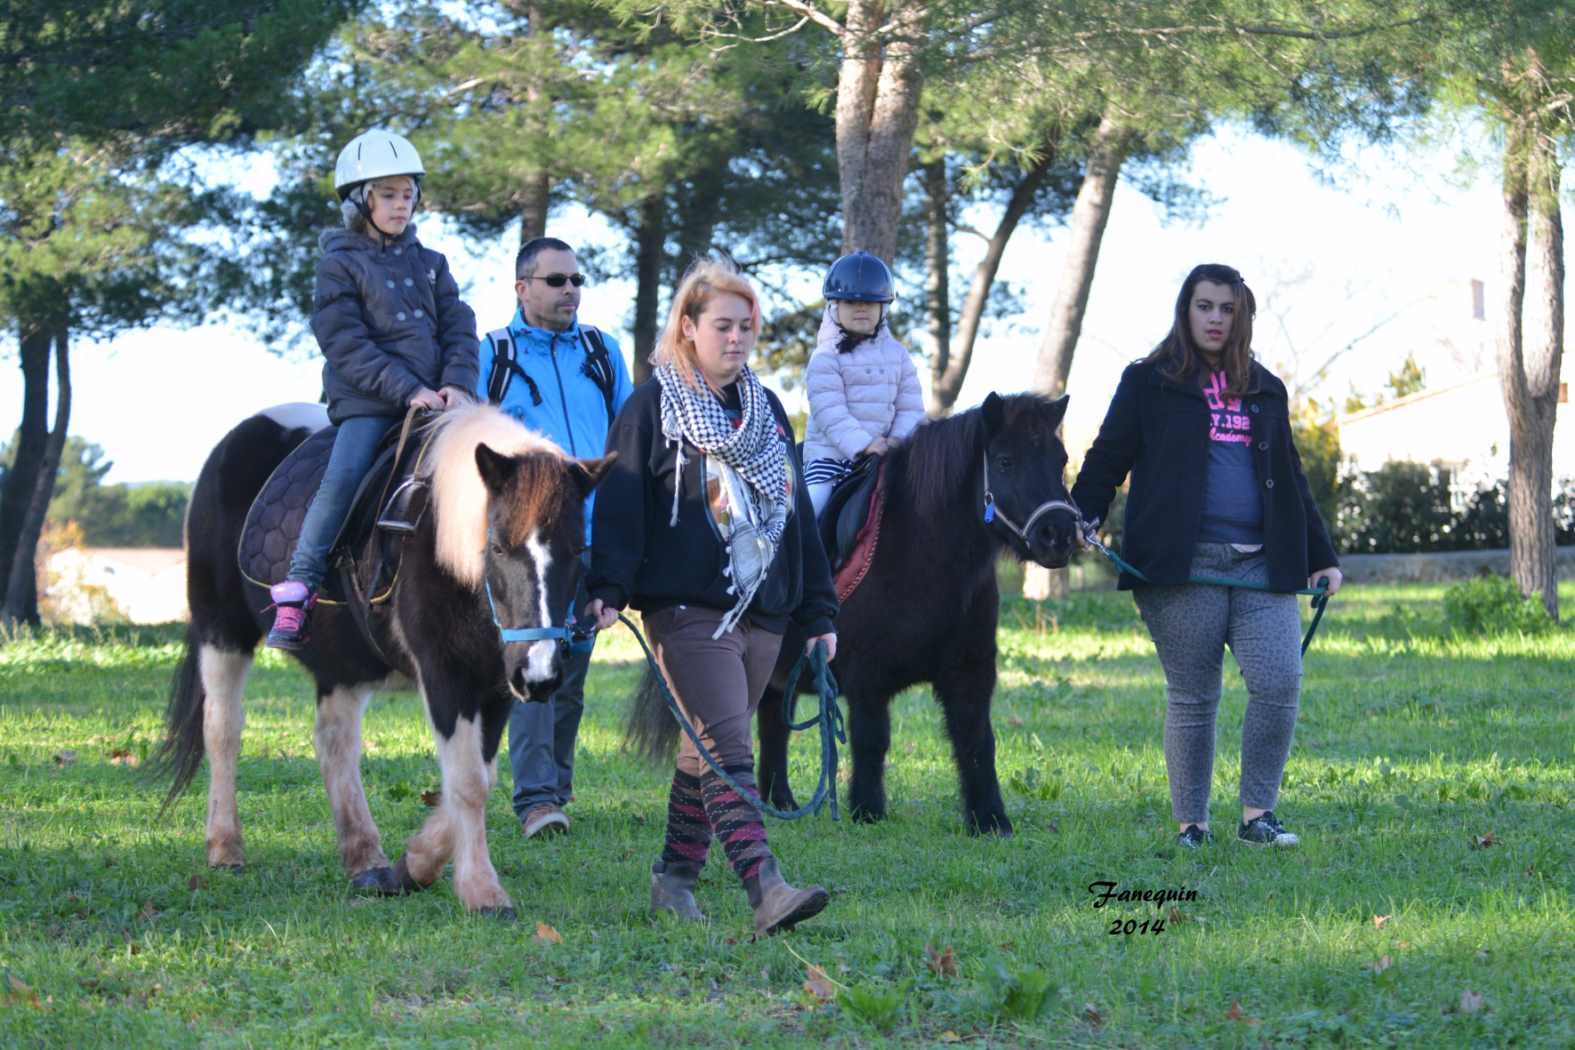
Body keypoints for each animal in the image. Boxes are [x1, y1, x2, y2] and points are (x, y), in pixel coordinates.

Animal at [151, 406, 607, 913]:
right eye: (499, 546)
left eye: (578, 549)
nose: (541, 675)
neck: (439, 541)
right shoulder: (446, 673)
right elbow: (468, 781)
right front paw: (481, 892)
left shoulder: (496, 683)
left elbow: (481, 776)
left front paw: (411, 866)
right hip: (222, 632)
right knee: (223, 730)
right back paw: (225, 846)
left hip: (342, 667)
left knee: (335, 744)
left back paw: (364, 857)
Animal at [759, 390, 1077, 831]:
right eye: (1004, 461)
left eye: (1060, 459)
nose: (1058, 535)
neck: (922, 557)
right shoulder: (867, 677)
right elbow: (872, 740)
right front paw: (867, 811)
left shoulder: (970, 671)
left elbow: (976, 740)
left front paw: (990, 819)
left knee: (772, 722)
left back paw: (779, 802)